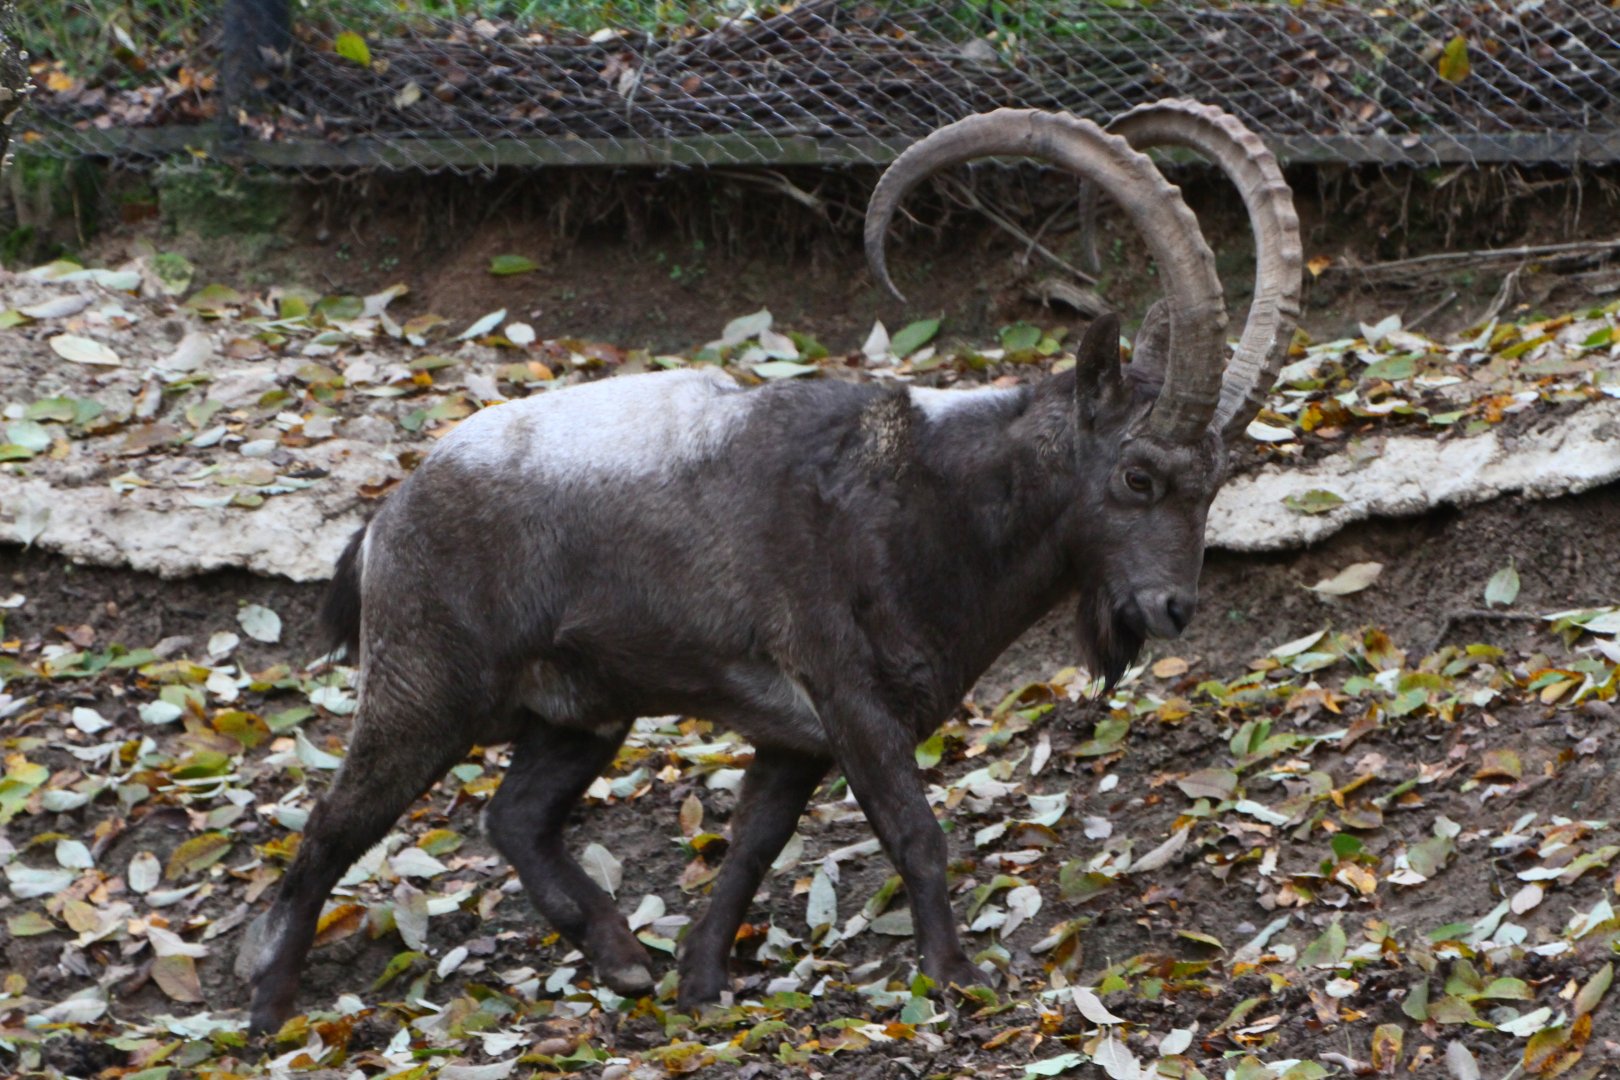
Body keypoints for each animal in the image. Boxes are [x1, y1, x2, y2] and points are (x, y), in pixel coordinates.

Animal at [239, 100, 1302, 1034]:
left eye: (1214, 480)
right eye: (1137, 475)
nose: (1170, 607)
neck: (927, 500)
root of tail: (388, 520)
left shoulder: (795, 738)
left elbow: (752, 847)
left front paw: (703, 983)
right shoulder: (845, 691)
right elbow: (913, 831)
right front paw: (955, 980)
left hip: (582, 710)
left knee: (515, 816)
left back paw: (623, 960)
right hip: (425, 693)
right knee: (331, 827)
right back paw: (268, 1010)